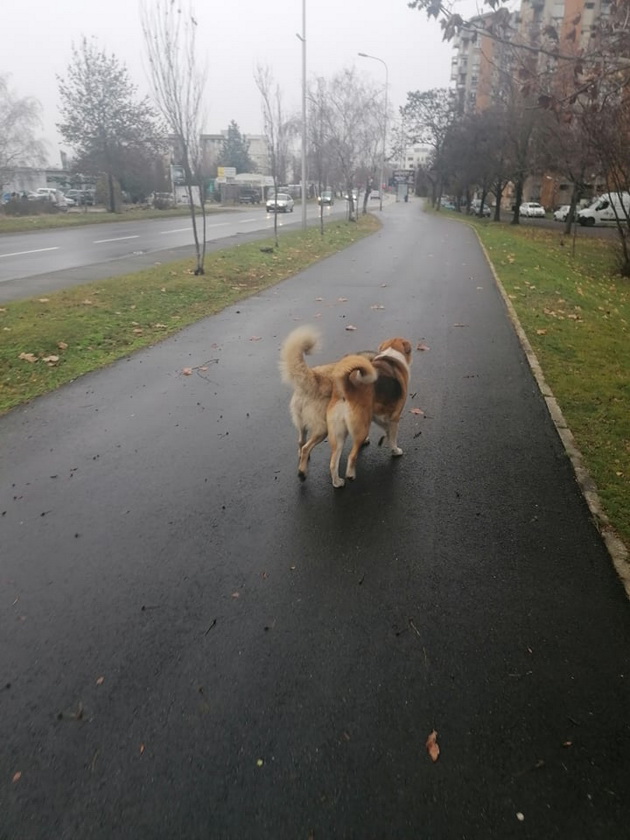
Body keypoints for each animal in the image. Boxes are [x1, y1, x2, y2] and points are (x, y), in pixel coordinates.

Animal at [282, 324, 376, 480]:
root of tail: (315, 378)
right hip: (323, 429)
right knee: (306, 447)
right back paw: (302, 472)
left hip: (302, 424)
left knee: (301, 442)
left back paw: (302, 459)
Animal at [326, 338, 414, 488]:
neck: (392, 357)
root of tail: (347, 388)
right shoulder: (395, 418)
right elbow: (393, 438)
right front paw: (395, 451)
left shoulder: (376, 415)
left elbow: (387, 431)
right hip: (362, 429)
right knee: (351, 456)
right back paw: (350, 475)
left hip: (338, 436)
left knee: (333, 463)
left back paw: (337, 482)